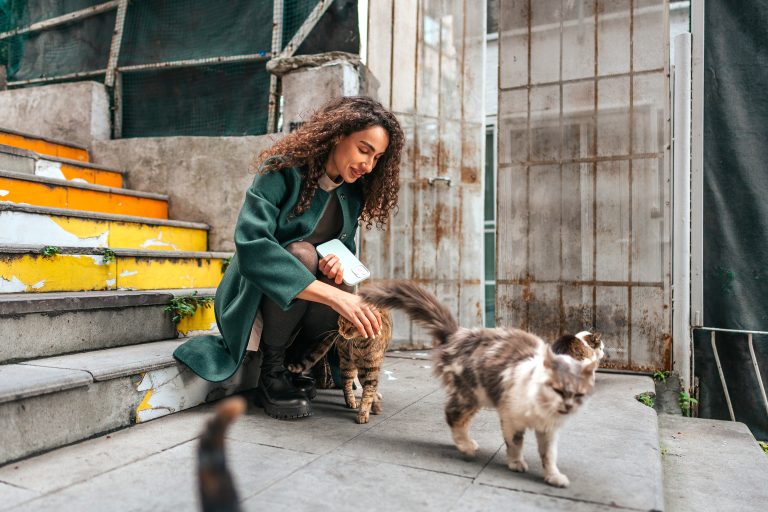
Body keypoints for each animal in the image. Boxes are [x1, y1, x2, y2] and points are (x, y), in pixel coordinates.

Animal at [360, 284, 600, 488]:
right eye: (558, 389)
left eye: (578, 394)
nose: (568, 406)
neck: (540, 407)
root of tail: (459, 334)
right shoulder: (510, 415)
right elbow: (515, 442)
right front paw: (516, 463)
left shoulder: (549, 430)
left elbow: (549, 455)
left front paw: (553, 476)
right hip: (471, 392)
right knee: (452, 415)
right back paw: (465, 447)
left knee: (460, 419)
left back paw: (467, 443)